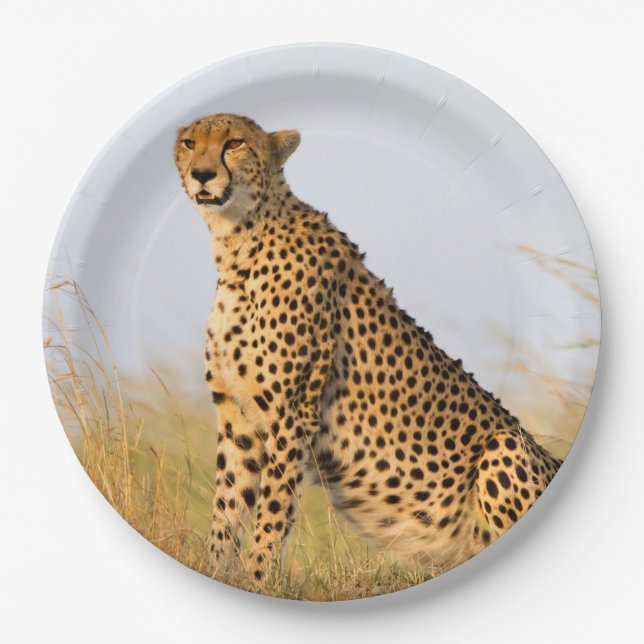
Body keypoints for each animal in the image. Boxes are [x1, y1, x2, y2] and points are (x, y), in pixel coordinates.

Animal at [174, 113, 562, 590]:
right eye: (190, 143)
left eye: (234, 144)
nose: (202, 174)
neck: (238, 240)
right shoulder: (237, 418)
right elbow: (226, 510)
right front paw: (218, 573)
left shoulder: (292, 414)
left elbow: (271, 514)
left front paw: (259, 581)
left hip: (503, 445)